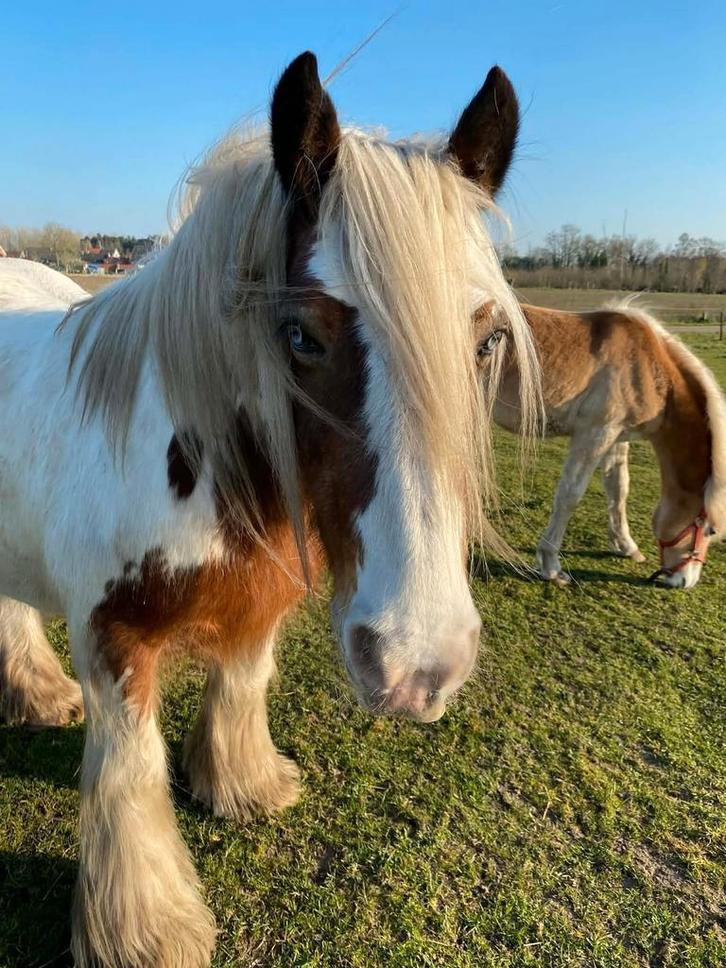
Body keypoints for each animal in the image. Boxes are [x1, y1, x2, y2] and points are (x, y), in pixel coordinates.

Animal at [0, 53, 540, 967]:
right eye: (300, 335)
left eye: (487, 338)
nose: (420, 664)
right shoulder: (113, 640)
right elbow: (130, 772)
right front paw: (147, 930)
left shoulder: (261, 600)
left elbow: (243, 686)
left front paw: (245, 786)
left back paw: (36, 695)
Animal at [482, 300, 726, 588]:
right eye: (711, 530)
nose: (685, 580)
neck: (645, 365)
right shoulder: (595, 434)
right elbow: (569, 496)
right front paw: (551, 566)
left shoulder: (616, 437)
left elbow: (618, 489)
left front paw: (626, 546)